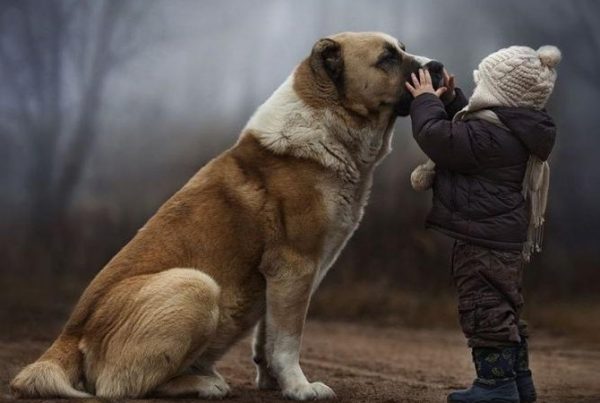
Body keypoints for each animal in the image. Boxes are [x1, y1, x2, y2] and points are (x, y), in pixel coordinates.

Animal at [9, 32, 440, 400]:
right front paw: (300, 388)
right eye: (387, 58)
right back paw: (203, 383)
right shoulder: (295, 267)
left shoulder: (281, 279)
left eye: (403, 49)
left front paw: (273, 382)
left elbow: (268, 336)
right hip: (196, 285)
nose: (436, 66)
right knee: (119, 387)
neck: (328, 123)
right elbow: (288, 339)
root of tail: (67, 336)